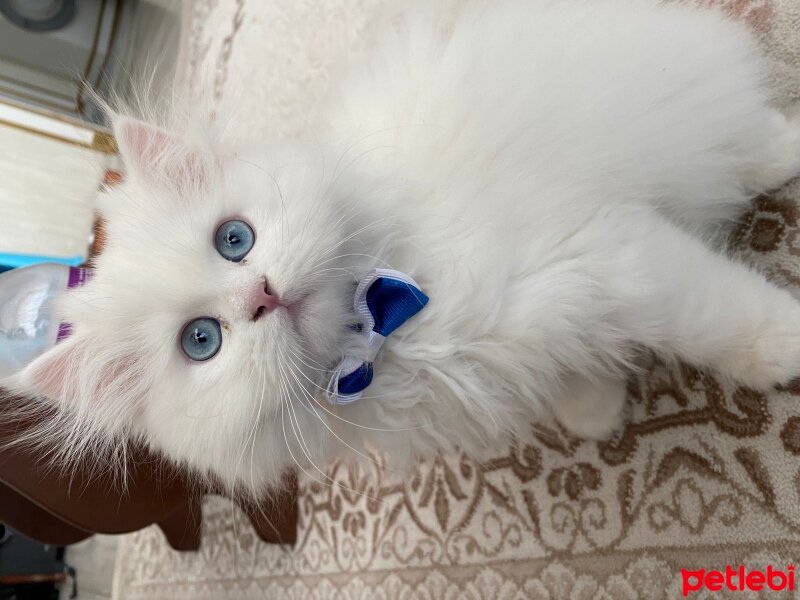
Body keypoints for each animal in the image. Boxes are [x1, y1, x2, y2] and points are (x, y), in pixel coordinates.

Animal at [6, 0, 800, 494]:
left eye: (234, 239)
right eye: (202, 341)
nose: (259, 294)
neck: (388, 328)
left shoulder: (610, 257)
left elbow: (725, 321)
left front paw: (788, 351)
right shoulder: (571, 305)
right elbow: (576, 367)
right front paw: (598, 410)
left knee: (756, 134)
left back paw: (783, 155)